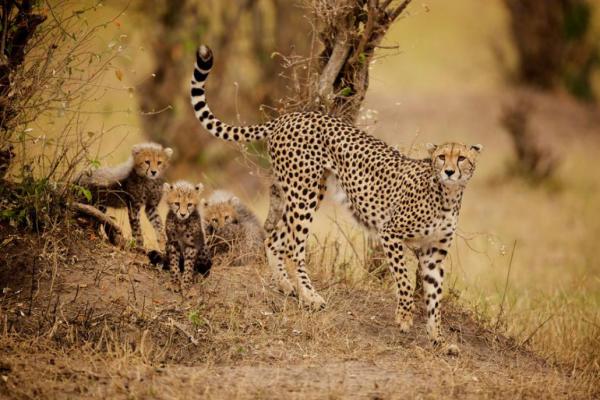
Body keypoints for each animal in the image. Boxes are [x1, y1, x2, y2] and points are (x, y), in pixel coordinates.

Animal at [191, 45, 482, 348]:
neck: (447, 195)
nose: (449, 171)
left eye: (461, 158)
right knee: (294, 248)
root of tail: (290, 116)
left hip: (308, 190)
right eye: (441, 157)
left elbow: (435, 295)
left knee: (275, 237)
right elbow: (403, 278)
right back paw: (310, 296)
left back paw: (285, 285)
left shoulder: (434, 252)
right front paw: (404, 318)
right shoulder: (390, 233)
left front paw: (437, 337)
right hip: (304, 193)